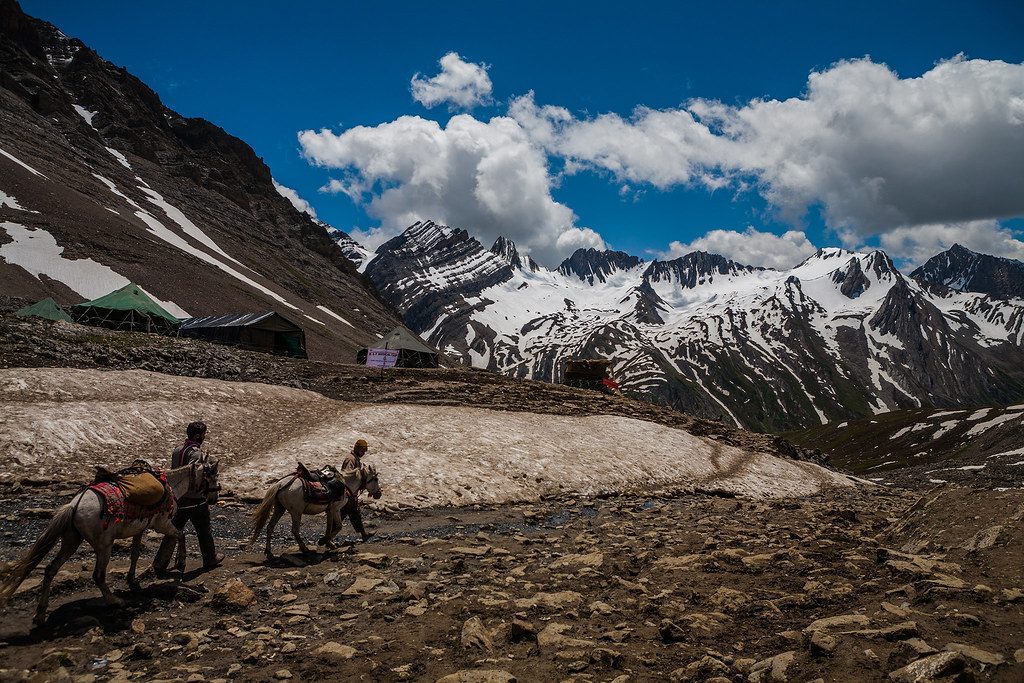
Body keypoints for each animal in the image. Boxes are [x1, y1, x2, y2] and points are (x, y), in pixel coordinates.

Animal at [0, 456, 218, 626]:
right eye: (212, 475)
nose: (214, 498)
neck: (171, 484)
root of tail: (73, 505)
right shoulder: (161, 523)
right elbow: (180, 534)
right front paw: (180, 562)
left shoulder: (140, 528)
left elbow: (135, 554)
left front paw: (132, 581)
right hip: (104, 545)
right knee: (97, 575)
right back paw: (115, 601)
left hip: (71, 540)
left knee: (51, 569)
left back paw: (40, 614)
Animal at [249, 464, 382, 561]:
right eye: (375, 478)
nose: (379, 494)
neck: (345, 483)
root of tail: (280, 483)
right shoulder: (335, 509)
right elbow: (338, 526)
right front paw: (323, 541)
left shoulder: (329, 510)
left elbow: (329, 527)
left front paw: (329, 543)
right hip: (296, 512)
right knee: (295, 530)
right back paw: (305, 549)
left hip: (279, 508)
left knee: (270, 526)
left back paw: (269, 553)